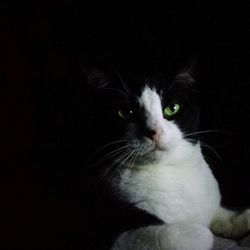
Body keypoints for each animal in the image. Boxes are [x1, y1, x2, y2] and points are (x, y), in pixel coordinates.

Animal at [86, 67, 250, 250]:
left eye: (172, 108)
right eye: (126, 112)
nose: (154, 132)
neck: (170, 171)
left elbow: (219, 212)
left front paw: (241, 222)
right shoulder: (116, 232)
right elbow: (200, 235)